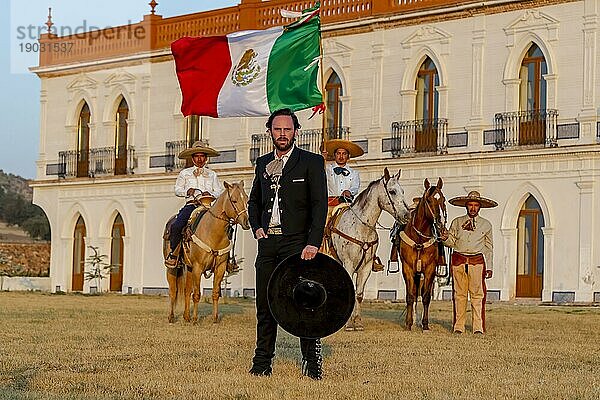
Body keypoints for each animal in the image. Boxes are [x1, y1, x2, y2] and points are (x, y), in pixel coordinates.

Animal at [163, 183, 250, 324]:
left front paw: (215, 318)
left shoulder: (220, 267)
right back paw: (171, 317)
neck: (213, 231)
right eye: (234, 200)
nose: (246, 222)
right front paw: (195, 319)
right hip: (172, 267)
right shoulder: (198, 267)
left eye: (247, 199)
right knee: (173, 290)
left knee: (187, 290)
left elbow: (215, 293)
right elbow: (197, 294)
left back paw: (186, 317)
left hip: (190, 268)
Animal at [324, 167, 412, 330]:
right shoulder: (348, 264)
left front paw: (357, 322)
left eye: (402, 191)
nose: (407, 215)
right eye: (392, 191)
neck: (361, 227)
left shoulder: (366, 267)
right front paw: (348, 324)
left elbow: (359, 294)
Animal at [398, 178, 446, 332]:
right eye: (429, 200)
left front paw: (425, 324)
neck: (419, 238)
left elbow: (425, 297)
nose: (439, 223)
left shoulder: (430, 269)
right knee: (413, 294)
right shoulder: (407, 268)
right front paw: (408, 323)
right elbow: (410, 296)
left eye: (443, 199)